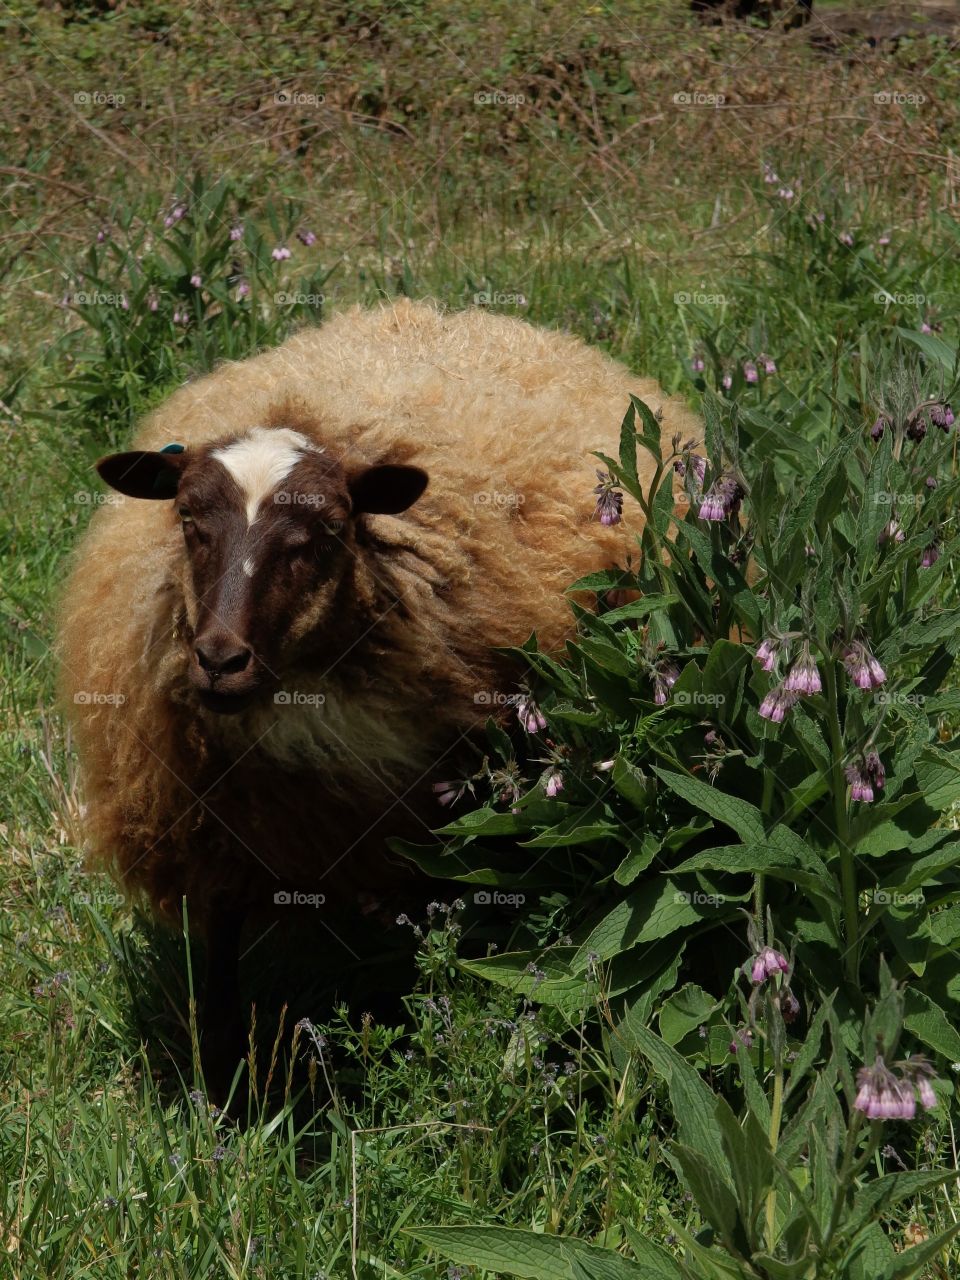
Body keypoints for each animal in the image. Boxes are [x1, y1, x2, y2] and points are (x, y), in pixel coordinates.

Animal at [58, 298, 700, 1094]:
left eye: (328, 529)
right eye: (187, 520)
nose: (220, 661)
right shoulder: (215, 827)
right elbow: (220, 965)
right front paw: (227, 1084)